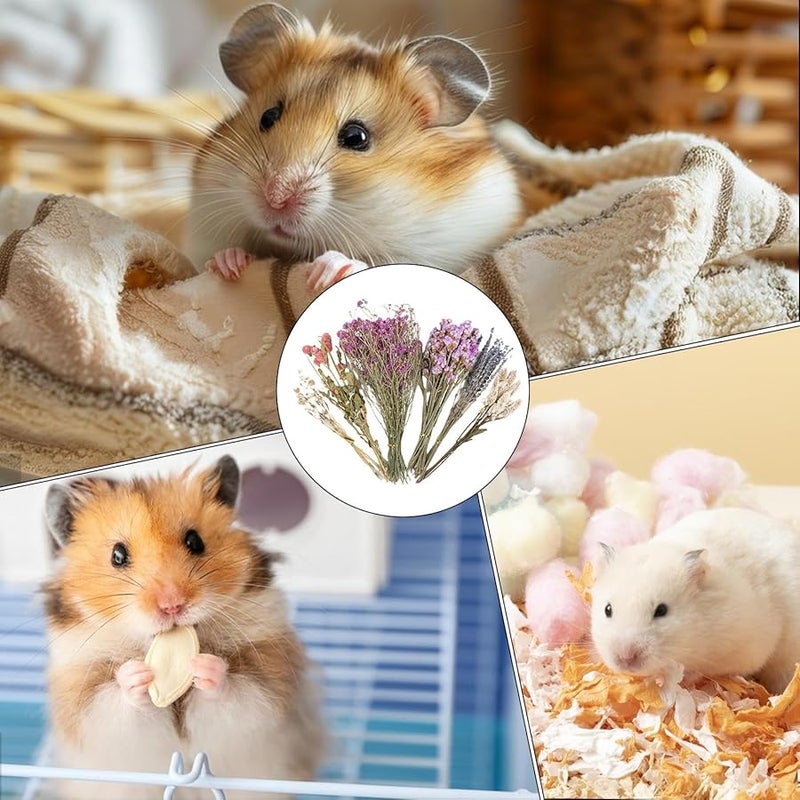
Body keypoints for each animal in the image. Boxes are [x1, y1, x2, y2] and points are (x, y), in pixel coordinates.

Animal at [41, 456, 324, 800]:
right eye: (117, 555)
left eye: (195, 541)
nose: (173, 605)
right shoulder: (86, 706)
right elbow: (113, 704)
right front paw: (136, 675)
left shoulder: (268, 690)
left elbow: (238, 694)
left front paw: (206, 667)